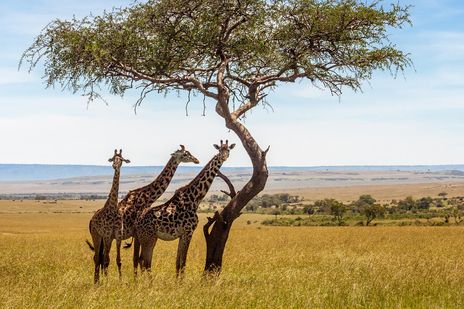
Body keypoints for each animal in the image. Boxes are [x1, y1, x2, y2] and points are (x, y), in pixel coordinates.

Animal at [86, 148, 130, 282]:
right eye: (112, 158)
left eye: (121, 159)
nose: (115, 165)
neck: (113, 207)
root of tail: (91, 221)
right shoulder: (106, 234)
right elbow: (106, 260)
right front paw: (107, 282)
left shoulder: (117, 235)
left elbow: (118, 260)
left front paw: (120, 281)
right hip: (96, 235)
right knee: (97, 257)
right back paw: (96, 281)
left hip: (106, 239)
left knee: (102, 257)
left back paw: (98, 280)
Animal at [114, 146, 199, 276]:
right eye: (185, 154)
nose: (196, 160)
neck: (147, 196)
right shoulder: (137, 233)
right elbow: (137, 259)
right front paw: (137, 279)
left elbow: (140, 259)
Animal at [134, 140, 236, 274]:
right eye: (219, 150)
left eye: (228, 150)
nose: (223, 157)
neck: (195, 199)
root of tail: (137, 222)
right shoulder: (188, 231)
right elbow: (183, 263)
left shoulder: (182, 235)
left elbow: (178, 263)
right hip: (147, 237)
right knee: (144, 262)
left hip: (149, 237)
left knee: (143, 261)